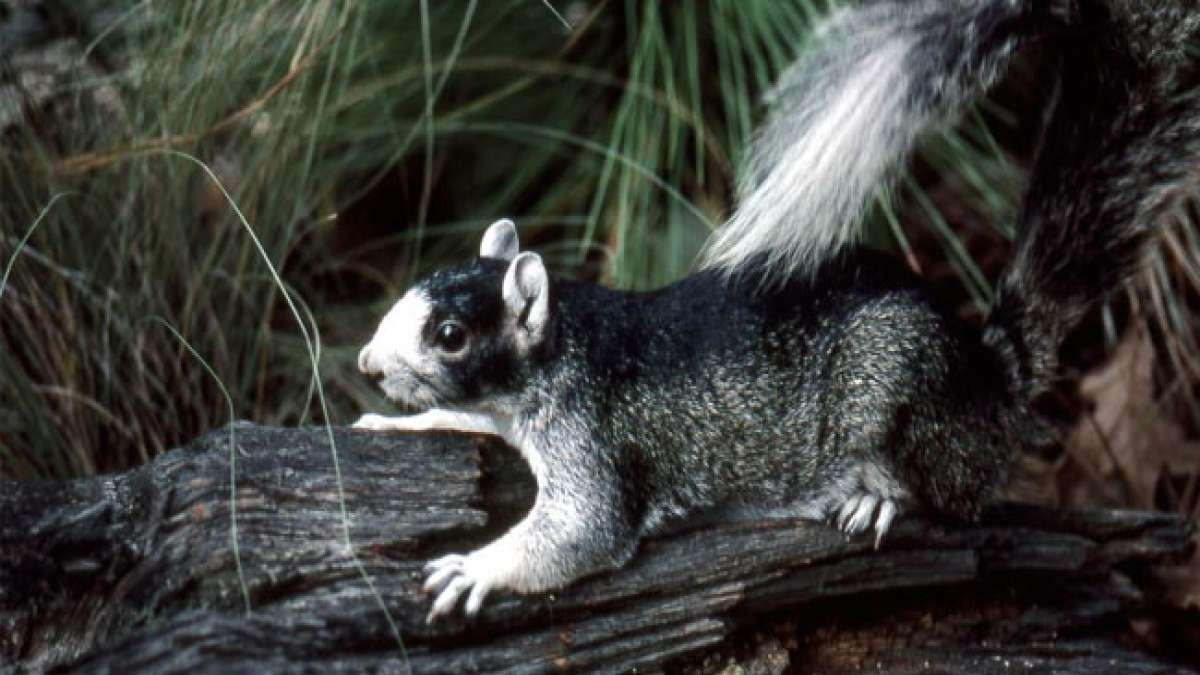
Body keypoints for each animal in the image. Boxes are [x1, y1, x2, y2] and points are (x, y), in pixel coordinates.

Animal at [355, 0, 1200, 622]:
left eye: (451, 334)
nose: (364, 365)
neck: (563, 347)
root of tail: (994, 380)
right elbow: (462, 419)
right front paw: (387, 422)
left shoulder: (596, 444)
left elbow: (579, 534)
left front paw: (475, 567)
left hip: (903, 388)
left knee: (948, 491)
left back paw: (874, 497)